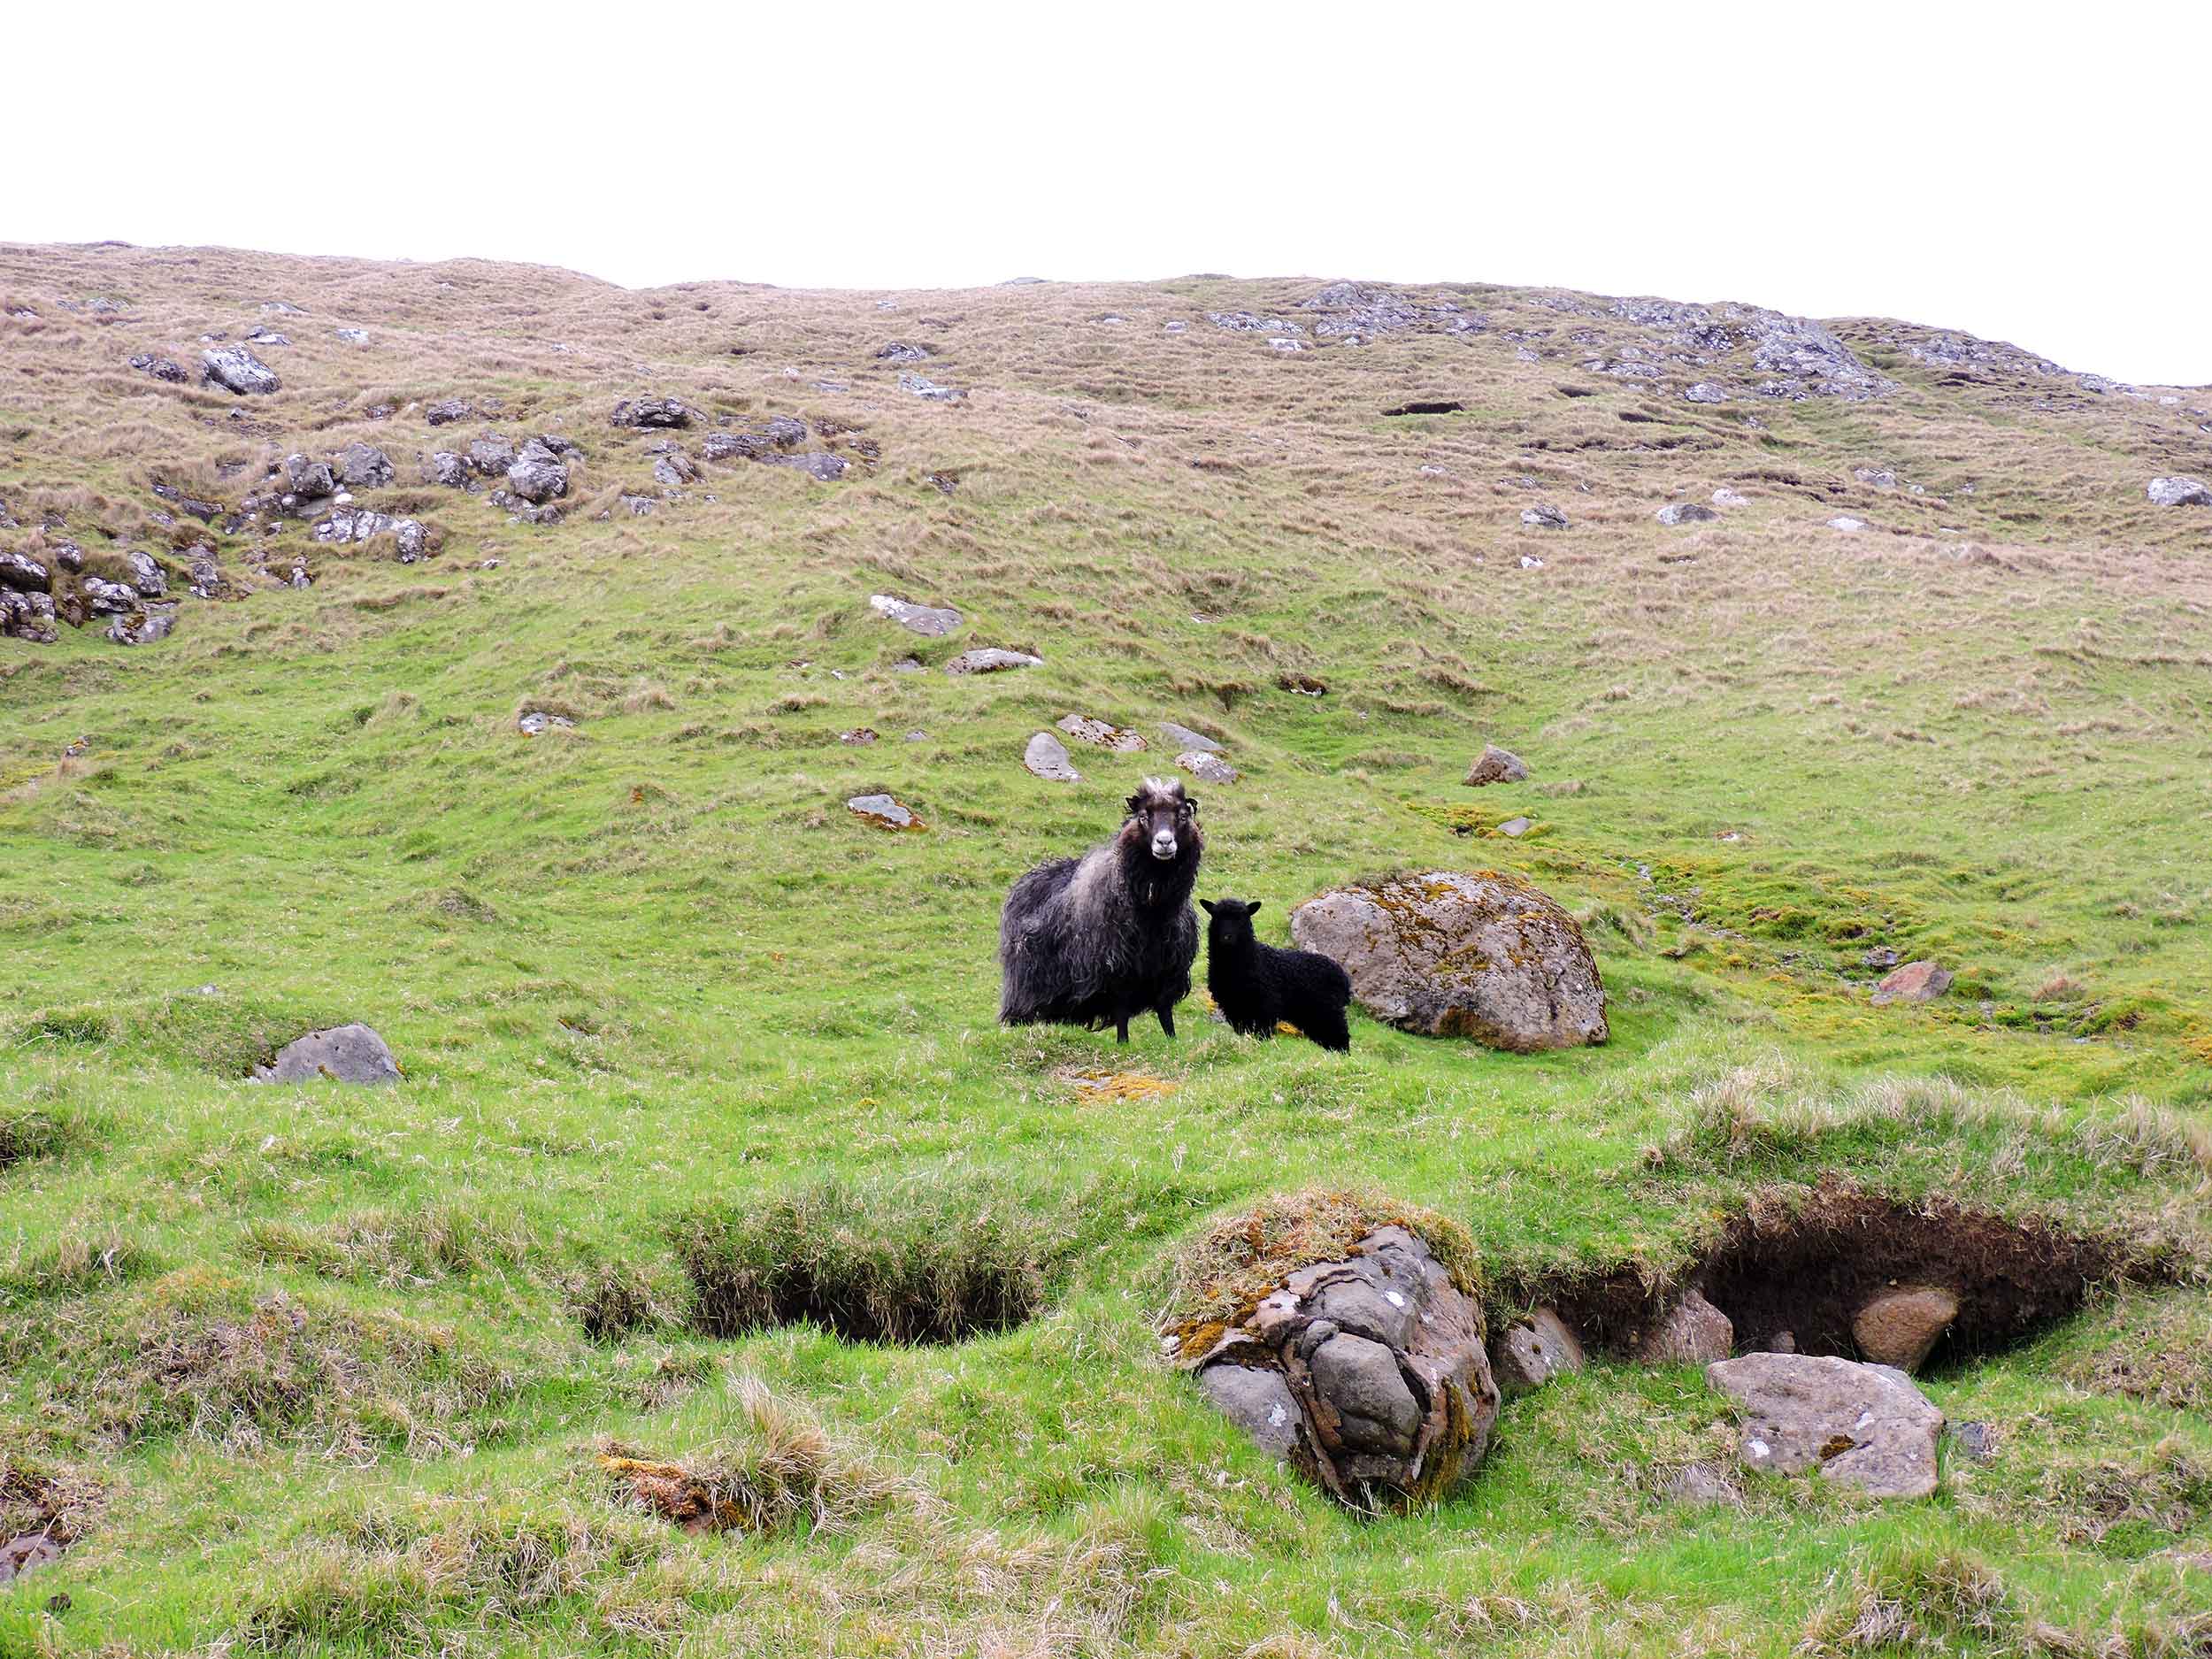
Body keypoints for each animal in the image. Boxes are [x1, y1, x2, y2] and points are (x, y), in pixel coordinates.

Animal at [999, 777, 1204, 1043]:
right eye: (1143, 817)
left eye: (1182, 816)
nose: (1164, 842)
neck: (1152, 915)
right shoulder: (1115, 969)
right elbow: (1122, 1010)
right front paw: (1123, 1043)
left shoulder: (1167, 969)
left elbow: (1164, 1010)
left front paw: (1172, 1041)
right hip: (1027, 984)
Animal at [1200, 897, 1353, 1052]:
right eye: (1217, 916)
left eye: (1241, 918)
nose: (1227, 937)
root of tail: (1343, 977)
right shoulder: (1234, 1007)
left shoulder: (1265, 1007)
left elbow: (1262, 1033)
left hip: (1329, 1010)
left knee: (1340, 1036)